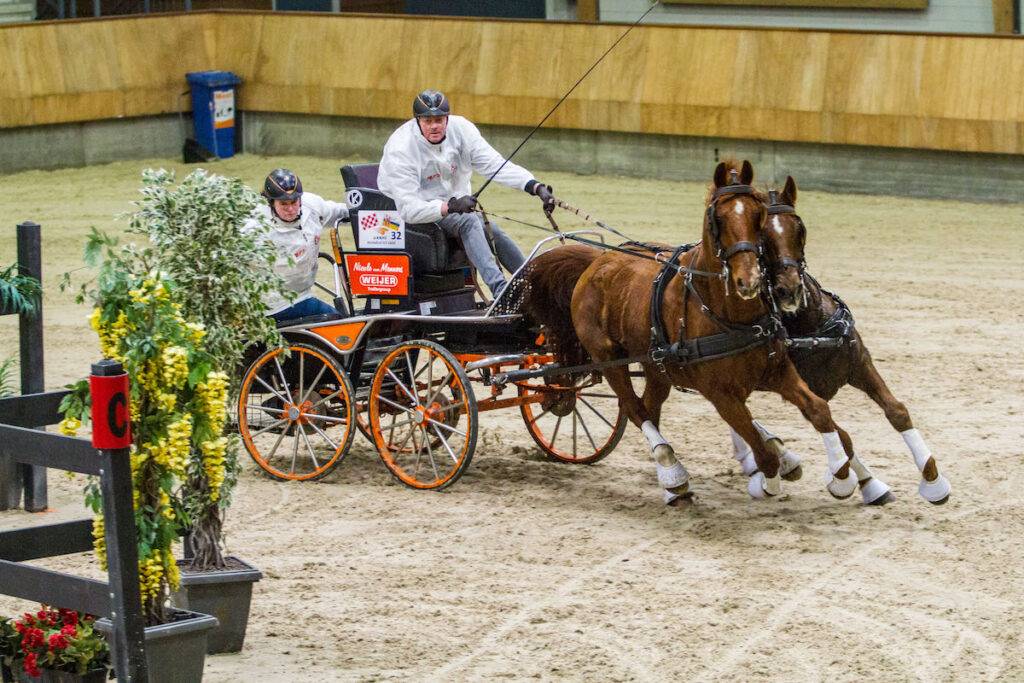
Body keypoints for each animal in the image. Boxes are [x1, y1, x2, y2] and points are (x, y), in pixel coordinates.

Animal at [525, 160, 860, 503]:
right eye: (719, 219)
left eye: (758, 216)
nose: (751, 281)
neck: (730, 315)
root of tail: (598, 259)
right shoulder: (720, 394)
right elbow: (761, 451)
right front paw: (764, 481)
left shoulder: (778, 372)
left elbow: (818, 410)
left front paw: (841, 477)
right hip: (608, 357)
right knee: (634, 408)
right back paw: (672, 473)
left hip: (656, 366)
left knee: (650, 406)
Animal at [726, 176, 951, 504]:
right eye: (761, 235)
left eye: (800, 228)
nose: (788, 290)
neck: (811, 328)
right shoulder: (801, 387)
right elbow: (841, 435)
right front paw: (849, 480)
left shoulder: (860, 365)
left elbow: (896, 411)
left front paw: (933, 479)